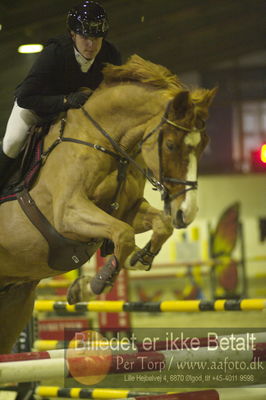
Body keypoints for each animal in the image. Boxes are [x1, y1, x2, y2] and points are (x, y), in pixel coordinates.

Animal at [0, 54, 216, 352]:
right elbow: (123, 235)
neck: (104, 141)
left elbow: (161, 225)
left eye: (204, 145)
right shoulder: (69, 214)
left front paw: (140, 258)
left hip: (15, 303)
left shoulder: (127, 210)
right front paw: (91, 286)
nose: (188, 212)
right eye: (171, 145)